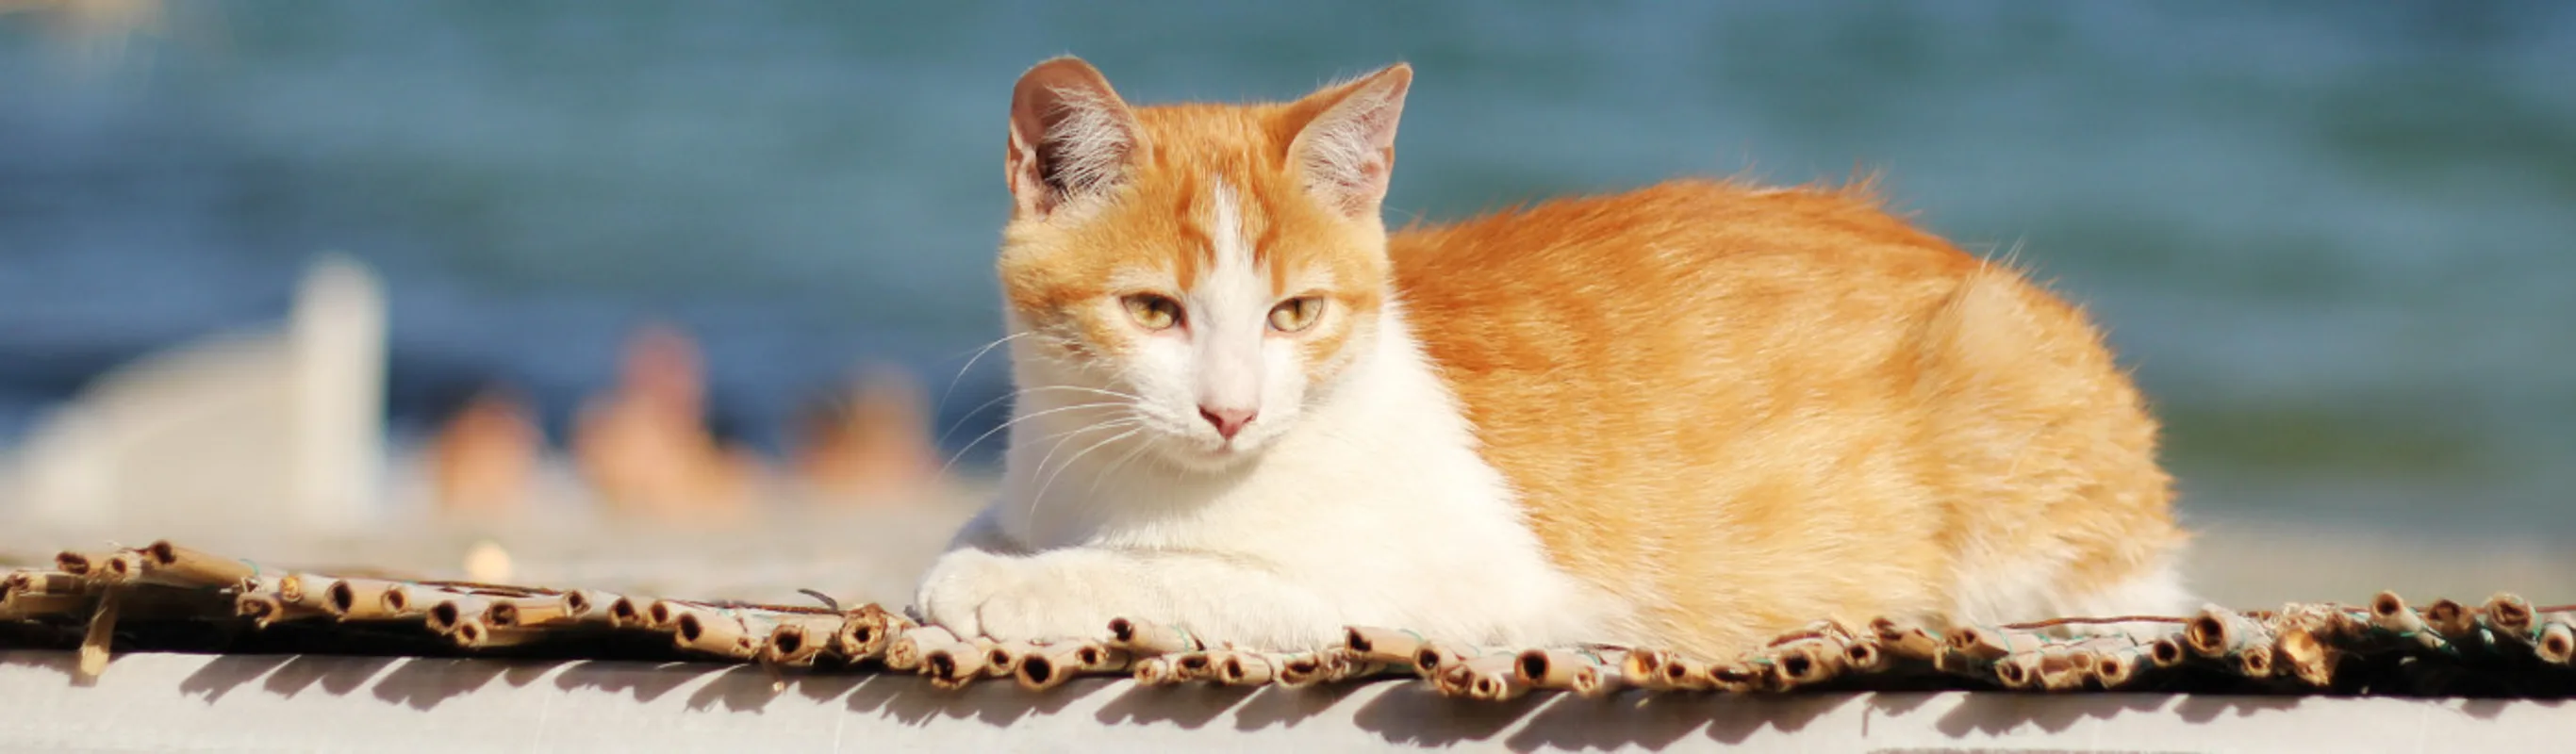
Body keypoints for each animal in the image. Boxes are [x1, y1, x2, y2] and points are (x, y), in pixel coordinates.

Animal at [916, 57, 2184, 658]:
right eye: (1153, 310)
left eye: (1293, 313)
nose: (1228, 413)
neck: (1126, 480)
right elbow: (986, 525)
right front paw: (979, 553)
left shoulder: (1443, 588)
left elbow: (1183, 573)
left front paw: (1013, 580)